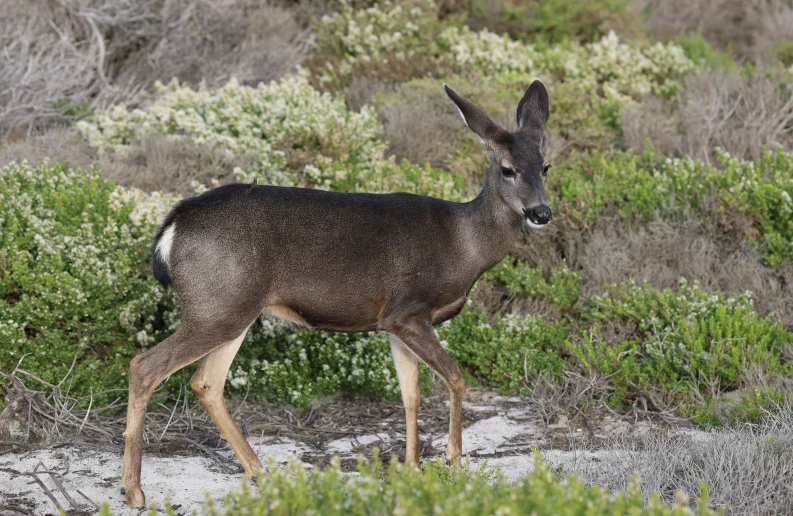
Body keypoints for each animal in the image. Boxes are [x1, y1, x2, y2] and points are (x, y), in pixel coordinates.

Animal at [120, 78, 552, 506]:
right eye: (507, 169)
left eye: (546, 167)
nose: (541, 213)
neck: (464, 245)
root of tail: (172, 226)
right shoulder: (406, 311)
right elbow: (456, 380)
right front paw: (455, 467)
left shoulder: (394, 325)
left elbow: (410, 395)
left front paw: (412, 472)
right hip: (217, 306)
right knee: (145, 366)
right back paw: (134, 490)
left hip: (233, 307)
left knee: (206, 382)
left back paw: (262, 475)